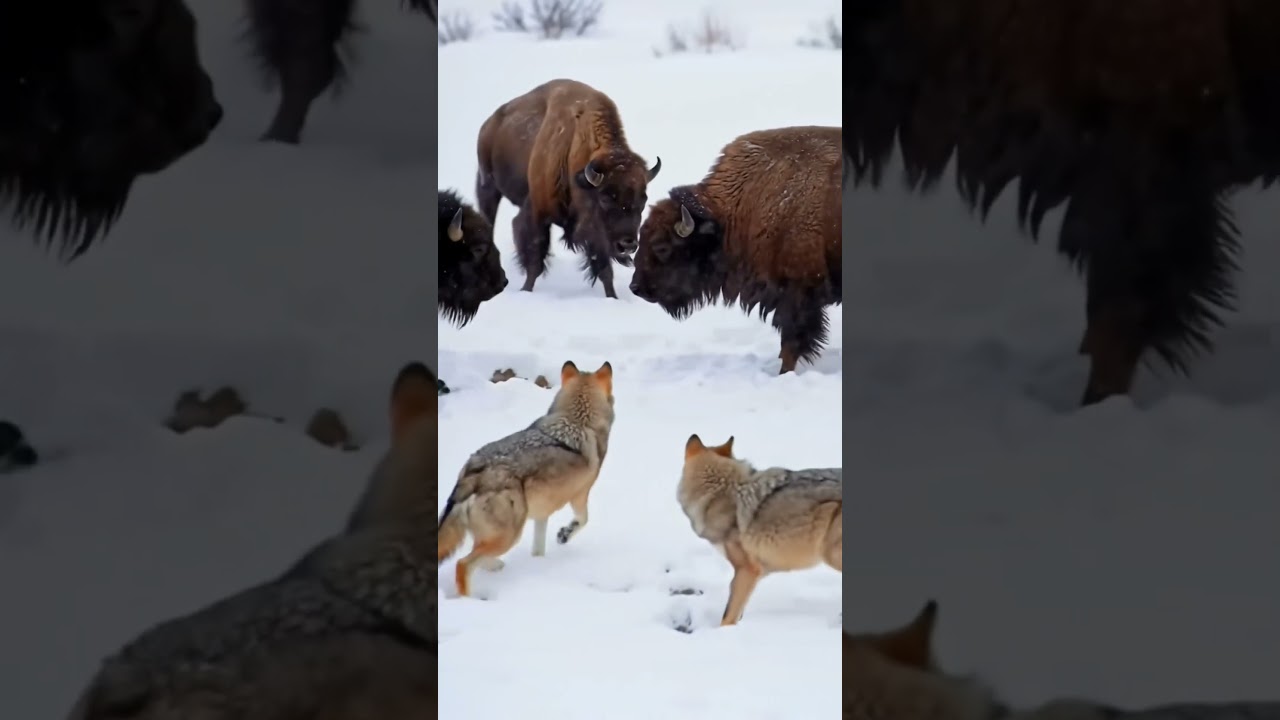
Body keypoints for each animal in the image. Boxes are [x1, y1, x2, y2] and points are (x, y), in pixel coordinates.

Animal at [438, 359, 616, 597]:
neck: (577, 420)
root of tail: (475, 471)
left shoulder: (542, 512)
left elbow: (538, 547)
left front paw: (539, 563)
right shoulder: (580, 494)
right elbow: (583, 520)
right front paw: (564, 535)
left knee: (476, 556)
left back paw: (495, 566)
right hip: (510, 535)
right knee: (463, 564)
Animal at [476, 78, 662, 299]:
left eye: (643, 199)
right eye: (605, 198)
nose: (628, 244)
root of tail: (490, 123)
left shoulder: (597, 236)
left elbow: (604, 270)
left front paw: (613, 298)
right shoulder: (538, 214)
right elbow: (535, 262)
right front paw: (525, 290)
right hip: (488, 187)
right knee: (489, 222)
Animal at [678, 435, 841, 626]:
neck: (722, 493)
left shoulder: (747, 570)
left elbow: (728, 615)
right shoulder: (756, 573)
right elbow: (738, 612)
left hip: (831, 555)